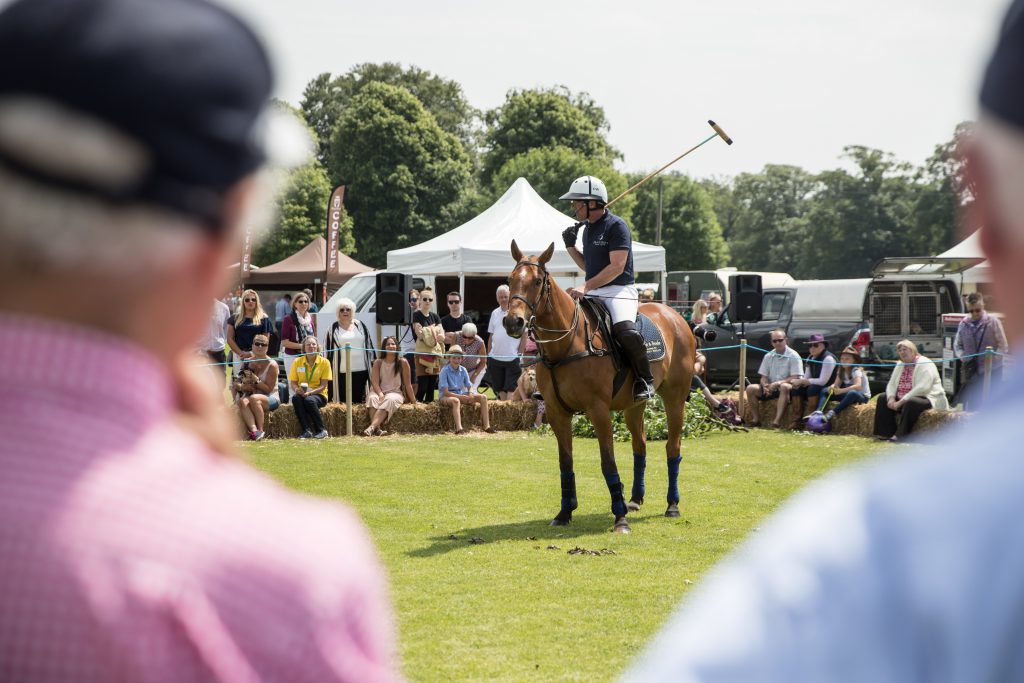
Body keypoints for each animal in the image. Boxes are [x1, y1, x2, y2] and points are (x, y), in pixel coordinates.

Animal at [503, 240, 696, 532]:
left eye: (537, 281)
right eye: (509, 279)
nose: (513, 322)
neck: (567, 344)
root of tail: (675, 314)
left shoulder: (598, 410)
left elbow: (608, 463)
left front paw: (620, 518)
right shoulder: (557, 412)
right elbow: (565, 462)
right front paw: (564, 512)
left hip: (674, 397)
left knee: (673, 447)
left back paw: (672, 505)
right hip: (634, 404)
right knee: (640, 445)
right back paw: (635, 499)